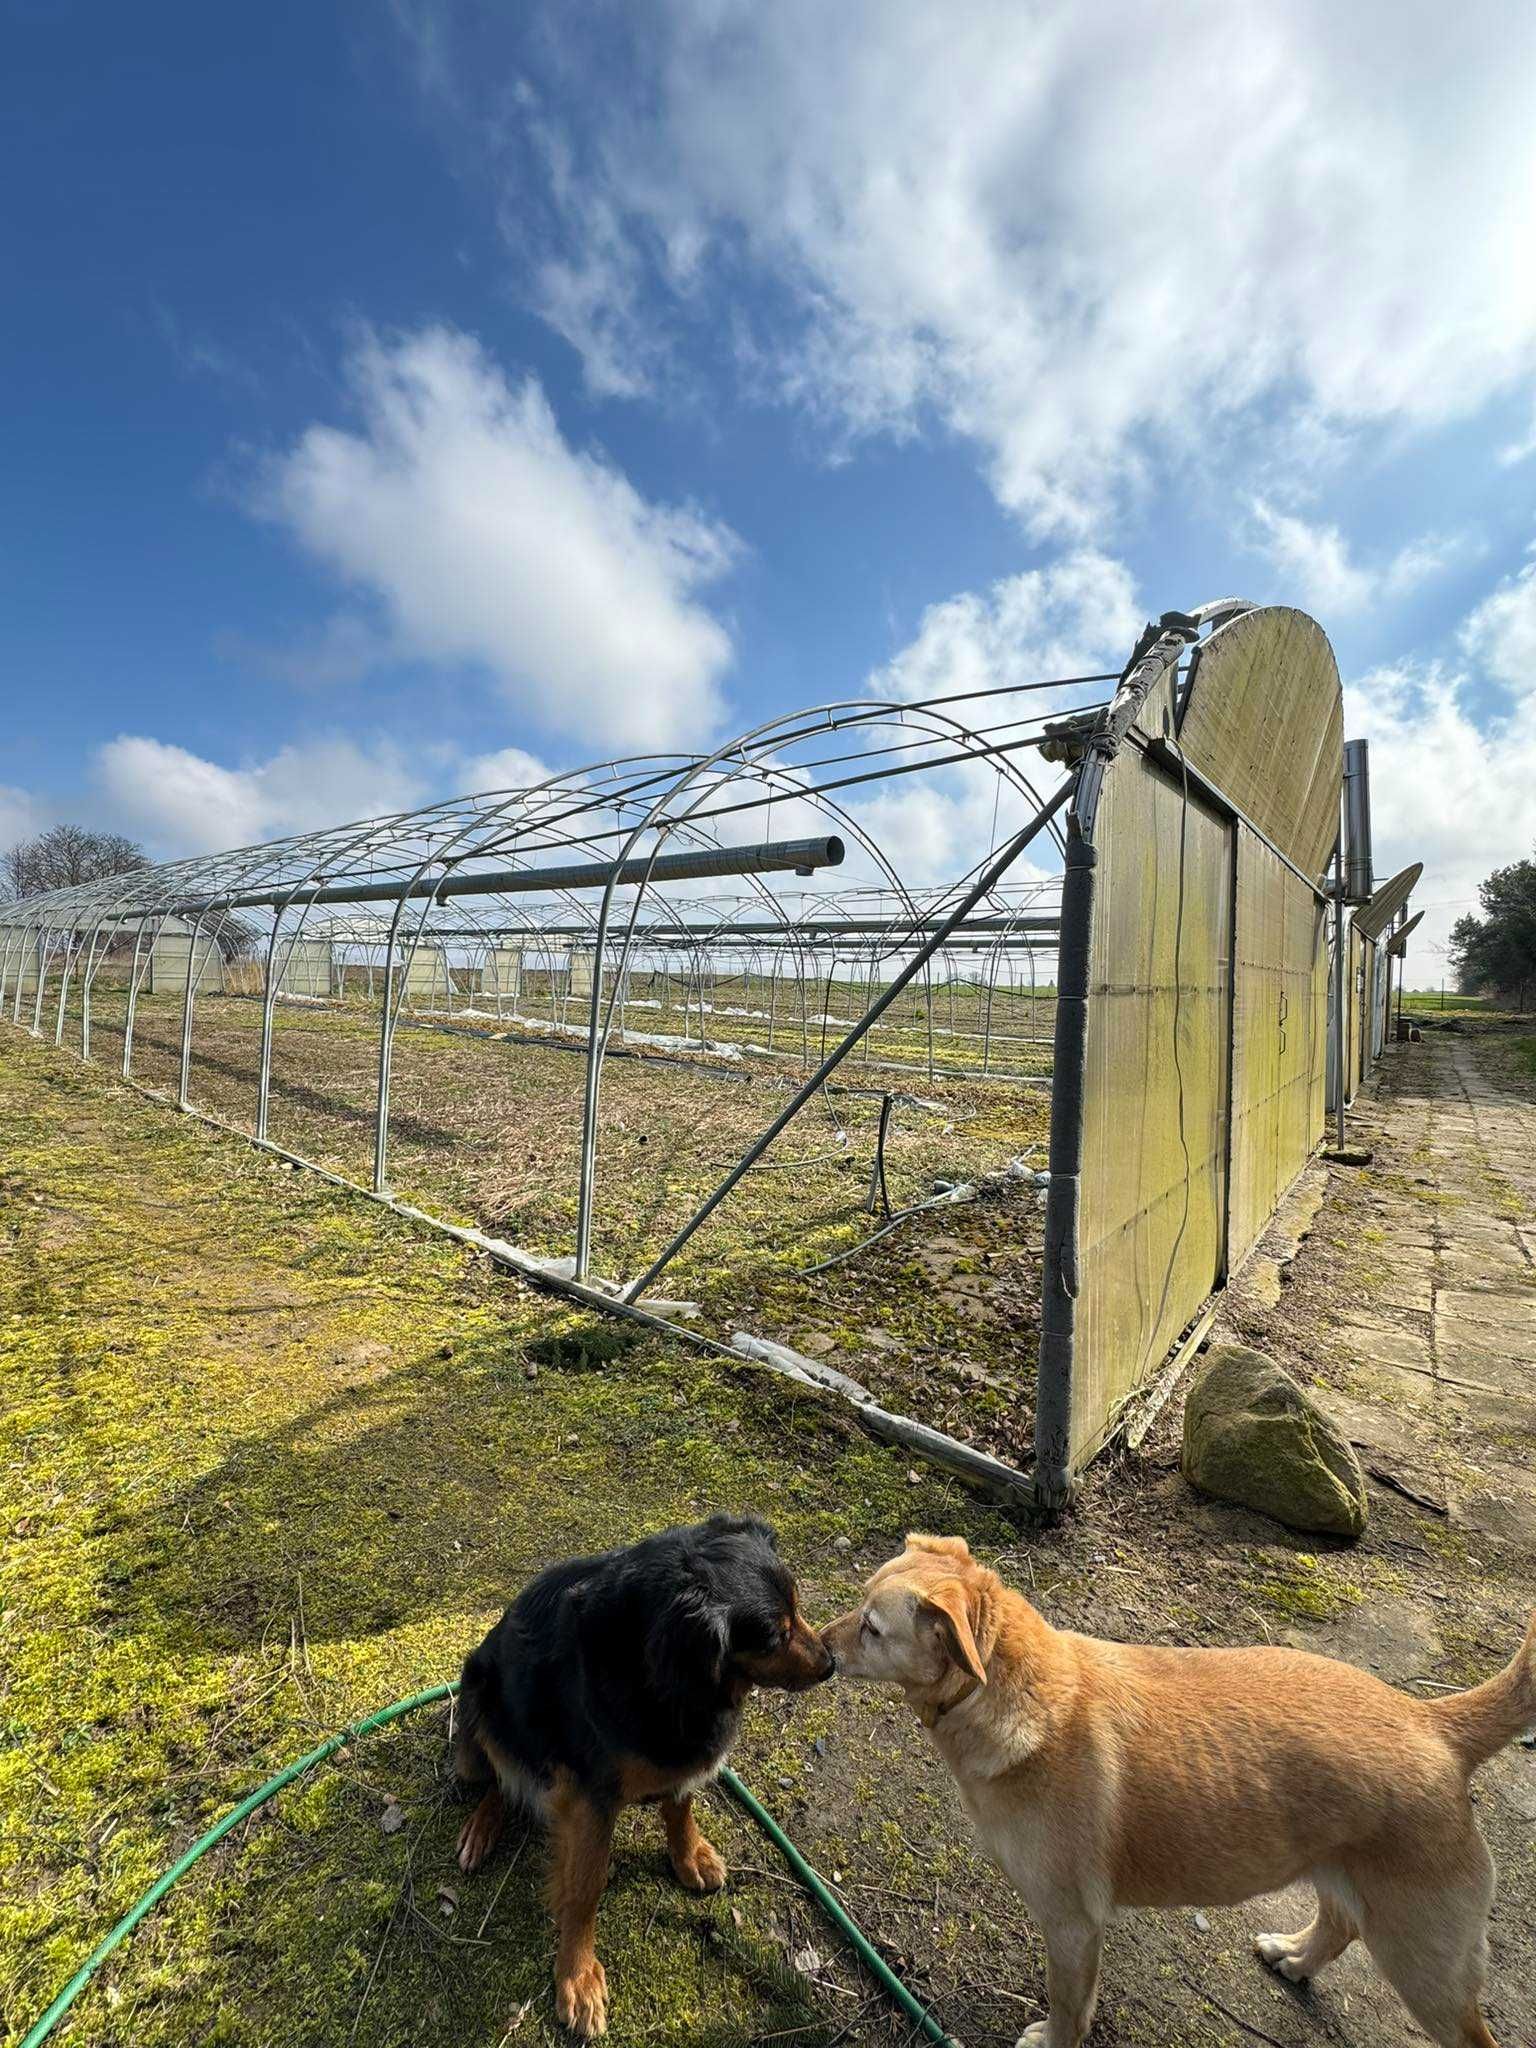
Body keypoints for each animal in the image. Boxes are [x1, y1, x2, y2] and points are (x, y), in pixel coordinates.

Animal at [450, 1515, 835, 2039]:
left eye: (798, 1606)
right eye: (776, 1635)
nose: (832, 1664)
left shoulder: (679, 1750)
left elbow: (680, 1805)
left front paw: (688, 1855)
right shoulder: (590, 1796)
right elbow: (585, 1885)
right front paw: (577, 1976)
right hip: (478, 1706)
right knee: (500, 1779)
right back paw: (483, 1825)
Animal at [835, 1540, 1531, 2048]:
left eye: (871, 1628)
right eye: (858, 1608)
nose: (819, 1645)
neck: (1005, 1686)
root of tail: (1434, 1721)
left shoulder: (1072, 1926)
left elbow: (1069, 2009)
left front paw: (1053, 2038)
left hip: (1426, 1966)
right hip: (1345, 1880)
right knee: (1338, 1923)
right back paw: (1296, 1957)